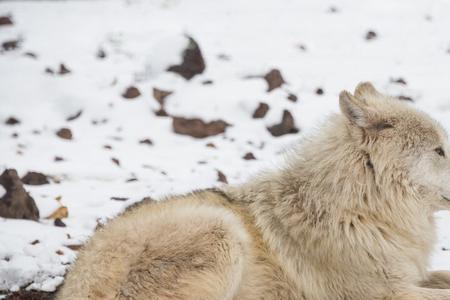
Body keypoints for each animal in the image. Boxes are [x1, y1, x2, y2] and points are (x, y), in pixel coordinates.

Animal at [58, 82, 450, 300]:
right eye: (440, 150)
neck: (360, 209)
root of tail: (74, 283)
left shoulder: (410, 275)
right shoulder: (383, 293)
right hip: (221, 233)